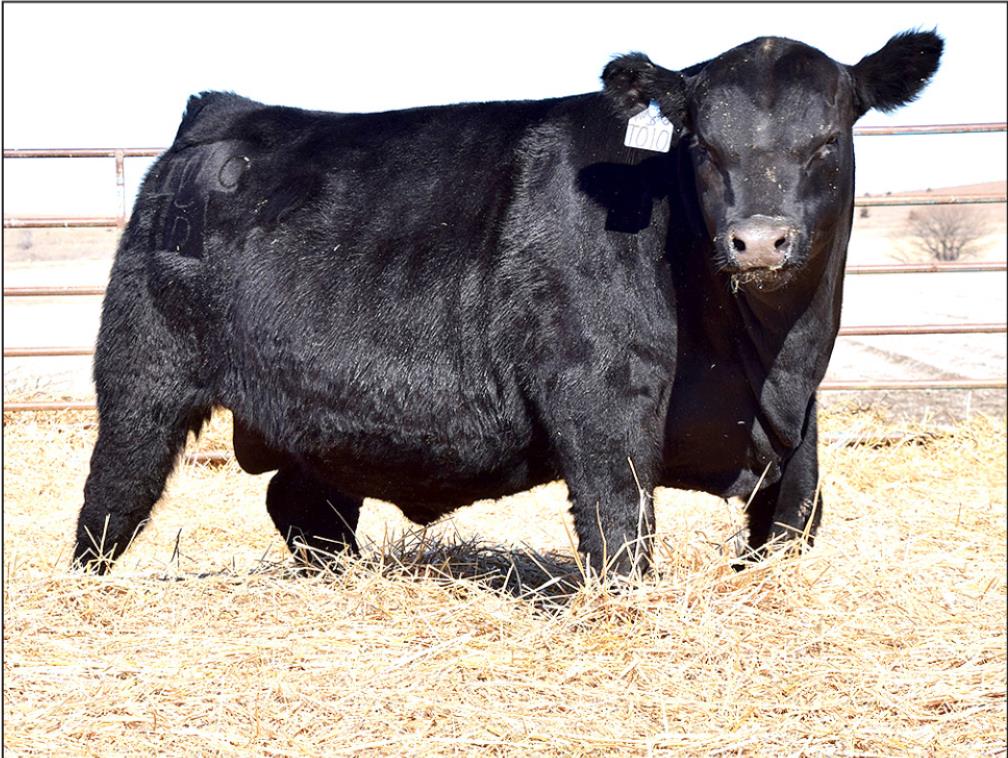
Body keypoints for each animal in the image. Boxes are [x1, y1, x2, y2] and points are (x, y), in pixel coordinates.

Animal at [73, 31, 942, 577]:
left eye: (827, 140)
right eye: (701, 142)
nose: (758, 242)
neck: (765, 365)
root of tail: (222, 111)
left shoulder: (799, 433)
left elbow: (796, 521)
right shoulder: (598, 399)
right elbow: (621, 531)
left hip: (319, 424)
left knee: (303, 505)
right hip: (142, 380)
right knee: (110, 502)